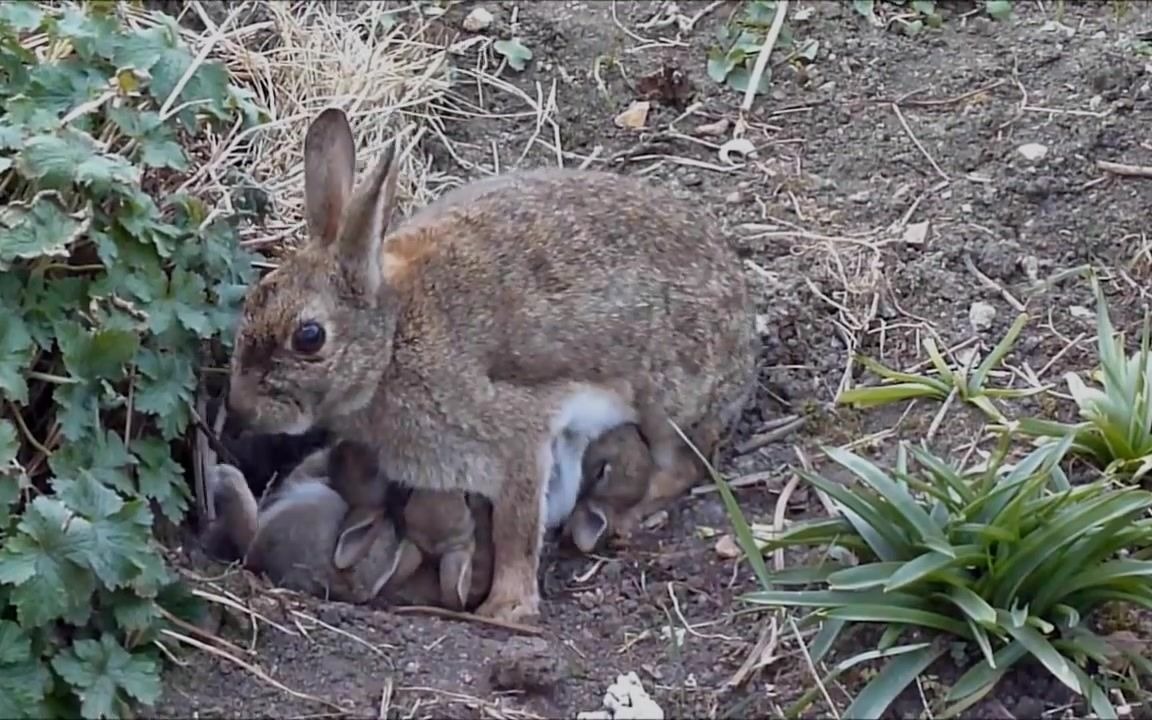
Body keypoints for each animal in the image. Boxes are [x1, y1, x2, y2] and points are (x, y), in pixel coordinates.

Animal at [228, 105, 760, 617]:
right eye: (250, 303)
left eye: (309, 337)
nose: (241, 409)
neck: (393, 341)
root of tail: (745, 323)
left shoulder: (516, 437)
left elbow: (515, 529)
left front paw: (507, 607)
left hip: (668, 404)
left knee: (683, 466)